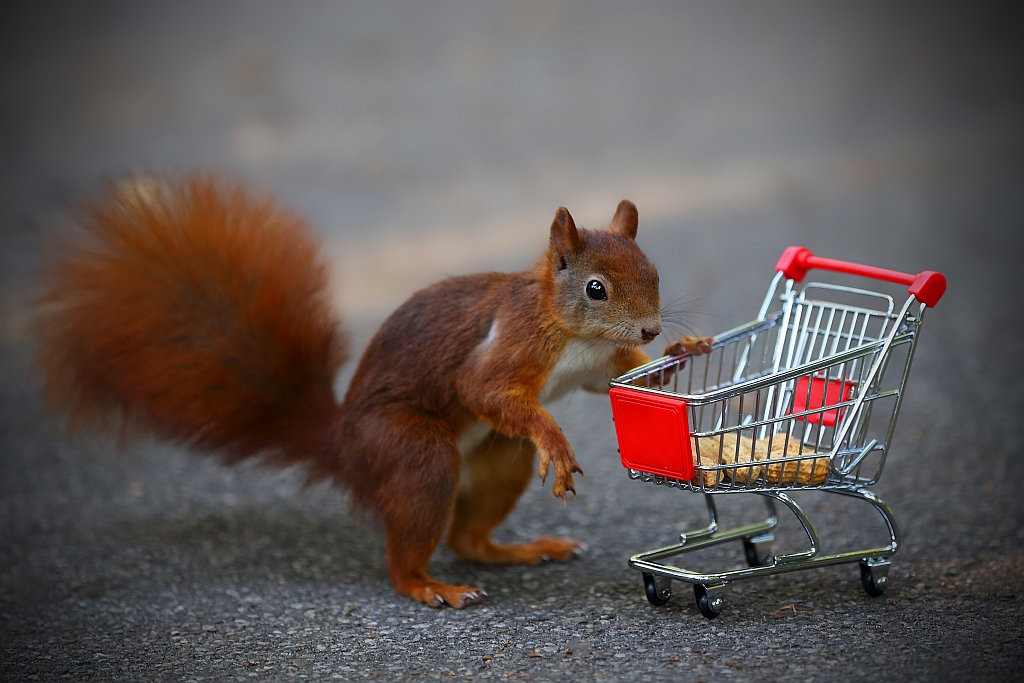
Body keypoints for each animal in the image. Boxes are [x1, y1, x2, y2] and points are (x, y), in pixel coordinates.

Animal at [34, 178, 712, 610]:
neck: (574, 333)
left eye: (653, 272)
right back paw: (428, 586)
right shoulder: (509, 347)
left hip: (497, 458)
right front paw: (556, 437)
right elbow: (482, 388)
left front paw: (686, 348)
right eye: (597, 289)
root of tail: (343, 448)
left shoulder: (597, 368)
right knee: (409, 552)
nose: (651, 328)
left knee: (468, 539)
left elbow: (620, 378)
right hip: (414, 454)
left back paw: (518, 550)